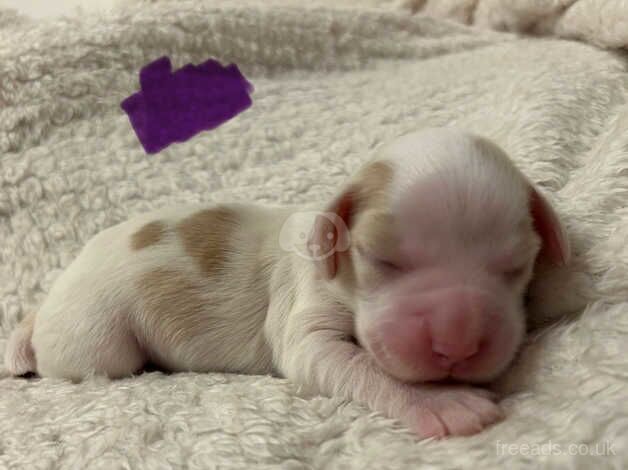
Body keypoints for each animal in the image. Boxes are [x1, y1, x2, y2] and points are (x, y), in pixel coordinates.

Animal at [3, 127, 568, 436]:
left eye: (516, 266)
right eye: (379, 258)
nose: (457, 345)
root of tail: (49, 298)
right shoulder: (306, 314)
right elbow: (361, 365)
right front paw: (443, 403)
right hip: (96, 339)